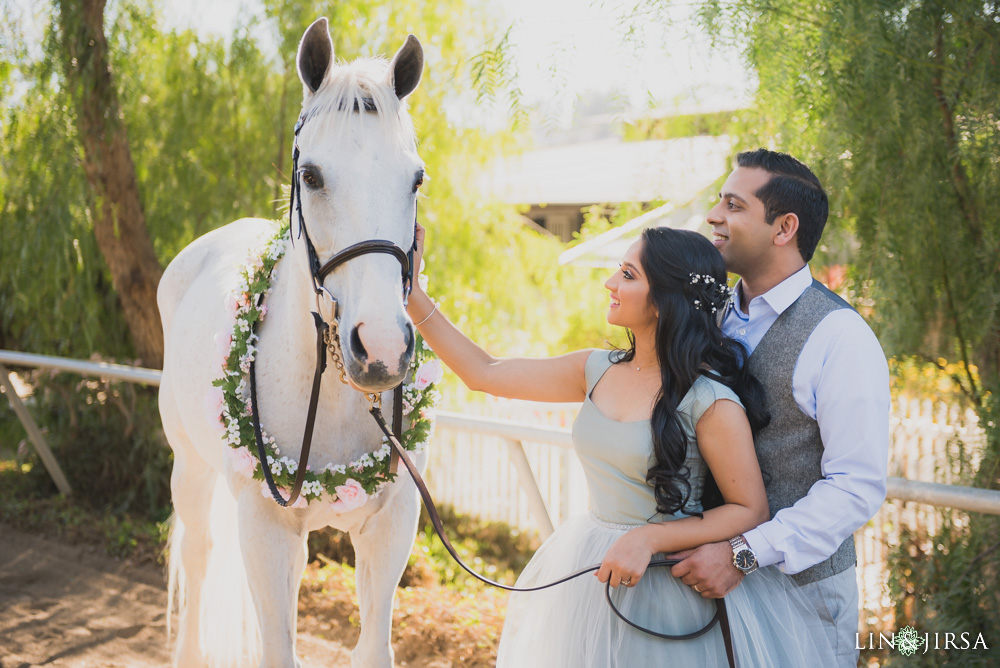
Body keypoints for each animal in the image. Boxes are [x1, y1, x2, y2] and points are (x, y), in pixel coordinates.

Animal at [156, 18, 426, 664]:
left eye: (416, 178)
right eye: (311, 176)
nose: (382, 350)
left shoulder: (390, 526)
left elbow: (372, 647)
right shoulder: (265, 528)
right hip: (190, 470)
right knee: (198, 560)